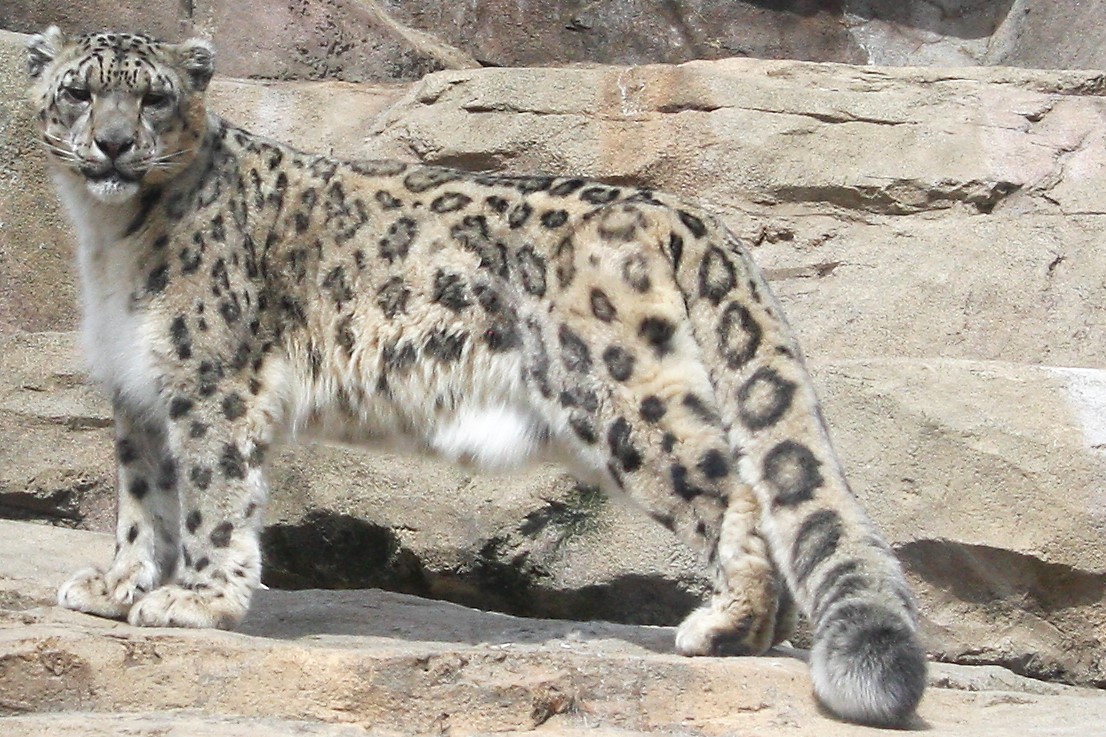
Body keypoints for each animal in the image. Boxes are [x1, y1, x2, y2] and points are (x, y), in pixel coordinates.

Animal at [27, 26, 926, 726]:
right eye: (77, 92)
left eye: (155, 98)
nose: (113, 145)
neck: (109, 238)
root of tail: (678, 208)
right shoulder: (140, 391)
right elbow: (144, 498)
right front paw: (118, 584)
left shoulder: (211, 382)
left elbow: (212, 495)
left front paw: (198, 598)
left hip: (619, 396)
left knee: (732, 487)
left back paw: (724, 626)